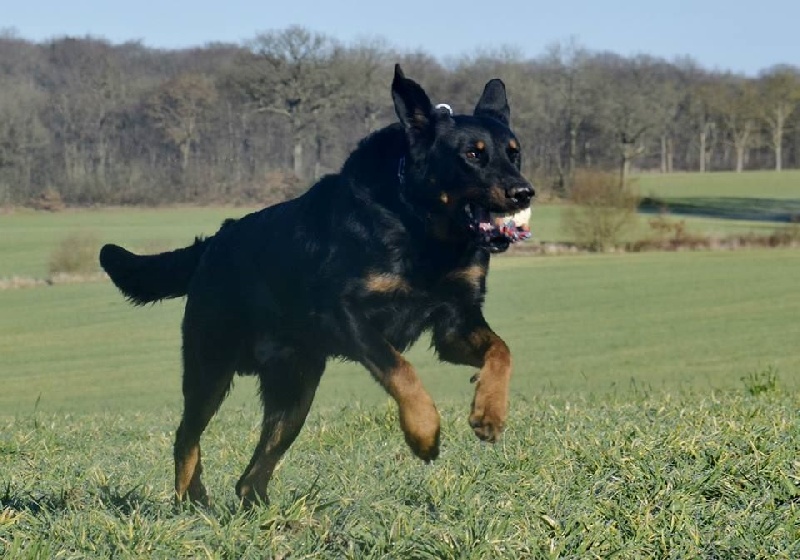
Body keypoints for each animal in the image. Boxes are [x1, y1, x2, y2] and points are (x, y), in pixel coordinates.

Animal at [99, 64, 534, 506]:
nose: (524, 192)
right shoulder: (348, 314)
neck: (419, 224)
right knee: (186, 436)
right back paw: (192, 499)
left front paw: (489, 412)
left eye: (513, 152)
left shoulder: (455, 324)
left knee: (250, 478)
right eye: (472, 154)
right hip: (211, 368)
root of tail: (214, 243)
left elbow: (502, 351)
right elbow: (401, 369)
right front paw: (423, 432)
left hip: (295, 393)